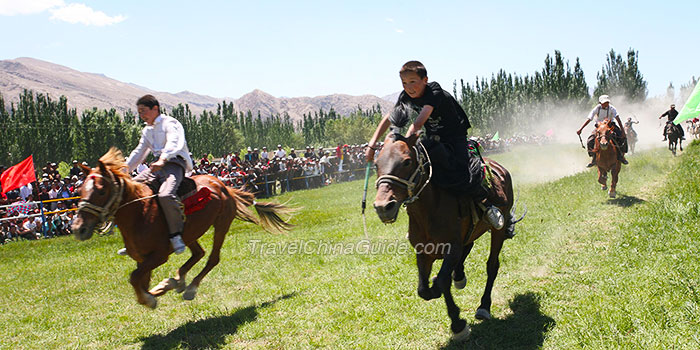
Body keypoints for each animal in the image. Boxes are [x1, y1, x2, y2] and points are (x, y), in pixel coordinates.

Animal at [73, 149, 296, 308]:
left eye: (101, 191)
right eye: (81, 189)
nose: (78, 228)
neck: (140, 213)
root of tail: (224, 186)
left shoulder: (159, 255)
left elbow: (135, 278)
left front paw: (150, 299)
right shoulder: (142, 259)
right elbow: (141, 281)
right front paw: (162, 287)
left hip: (221, 224)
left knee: (212, 258)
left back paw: (190, 288)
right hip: (191, 233)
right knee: (198, 253)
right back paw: (178, 281)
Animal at [374, 133, 524, 340]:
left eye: (406, 162)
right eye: (376, 164)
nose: (383, 207)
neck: (430, 210)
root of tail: (501, 169)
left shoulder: (451, 249)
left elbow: (441, 281)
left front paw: (458, 324)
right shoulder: (423, 253)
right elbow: (424, 290)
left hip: (498, 231)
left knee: (492, 265)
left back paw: (484, 306)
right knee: (468, 247)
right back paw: (459, 276)